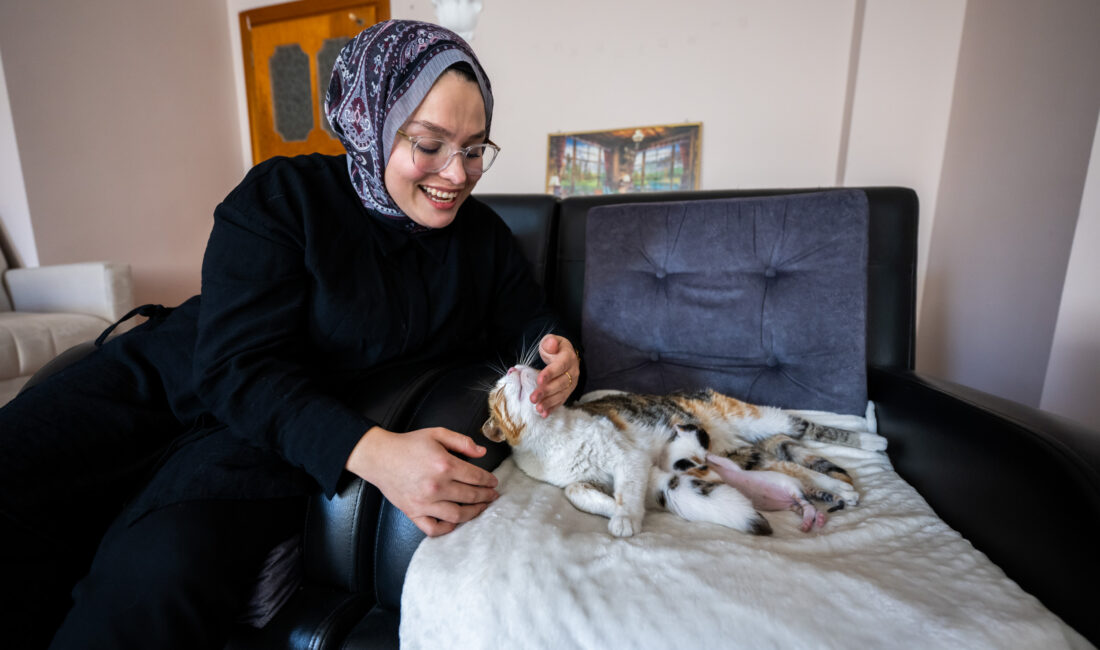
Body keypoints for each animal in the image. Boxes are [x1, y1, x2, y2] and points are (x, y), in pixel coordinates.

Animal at [481, 362, 884, 536]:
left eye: (533, 367)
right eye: (498, 390)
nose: (514, 367)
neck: (553, 434)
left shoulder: (628, 456)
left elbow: (628, 487)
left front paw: (625, 516)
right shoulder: (574, 480)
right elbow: (578, 493)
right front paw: (611, 507)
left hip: (753, 417)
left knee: (802, 428)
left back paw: (869, 441)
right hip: (739, 455)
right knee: (790, 466)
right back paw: (834, 490)